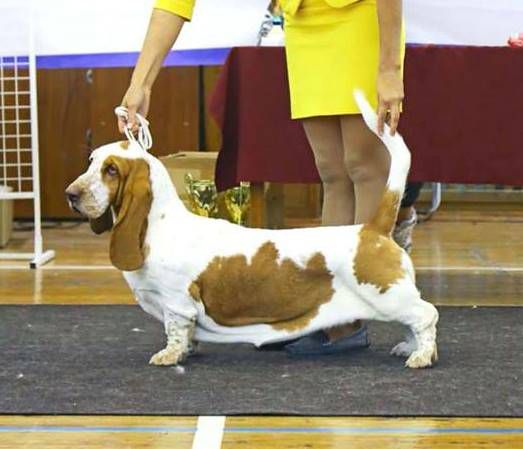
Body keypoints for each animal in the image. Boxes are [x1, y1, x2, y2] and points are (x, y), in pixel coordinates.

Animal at [67, 92, 440, 368]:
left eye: (112, 170)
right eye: (91, 162)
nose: (71, 194)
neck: (157, 225)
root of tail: (372, 229)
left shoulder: (176, 302)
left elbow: (176, 331)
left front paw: (169, 356)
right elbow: (187, 335)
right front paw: (187, 350)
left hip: (388, 295)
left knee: (427, 315)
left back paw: (421, 356)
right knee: (415, 321)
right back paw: (409, 348)